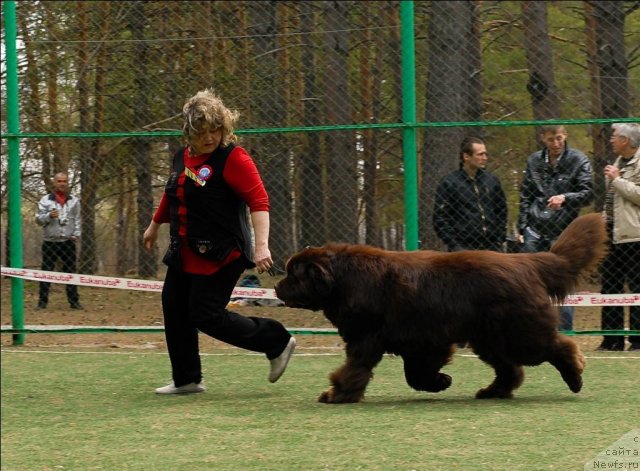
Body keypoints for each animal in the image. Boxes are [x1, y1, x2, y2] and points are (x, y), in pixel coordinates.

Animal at [276, 216, 604, 404]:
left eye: (293, 274)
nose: (277, 287)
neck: (343, 279)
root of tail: (526, 261)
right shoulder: (419, 342)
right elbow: (414, 373)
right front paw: (440, 382)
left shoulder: (368, 339)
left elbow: (356, 369)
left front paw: (338, 394)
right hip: (490, 338)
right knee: (510, 369)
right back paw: (492, 392)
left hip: (518, 332)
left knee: (558, 347)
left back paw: (574, 375)